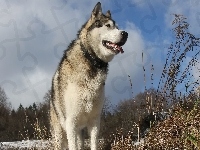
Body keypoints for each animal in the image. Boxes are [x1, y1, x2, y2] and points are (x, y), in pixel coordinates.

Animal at [50, 1, 128, 149]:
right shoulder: (71, 123)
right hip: (60, 134)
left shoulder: (95, 121)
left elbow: (94, 144)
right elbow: (73, 146)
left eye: (117, 27)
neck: (91, 61)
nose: (125, 33)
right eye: (108, 26)